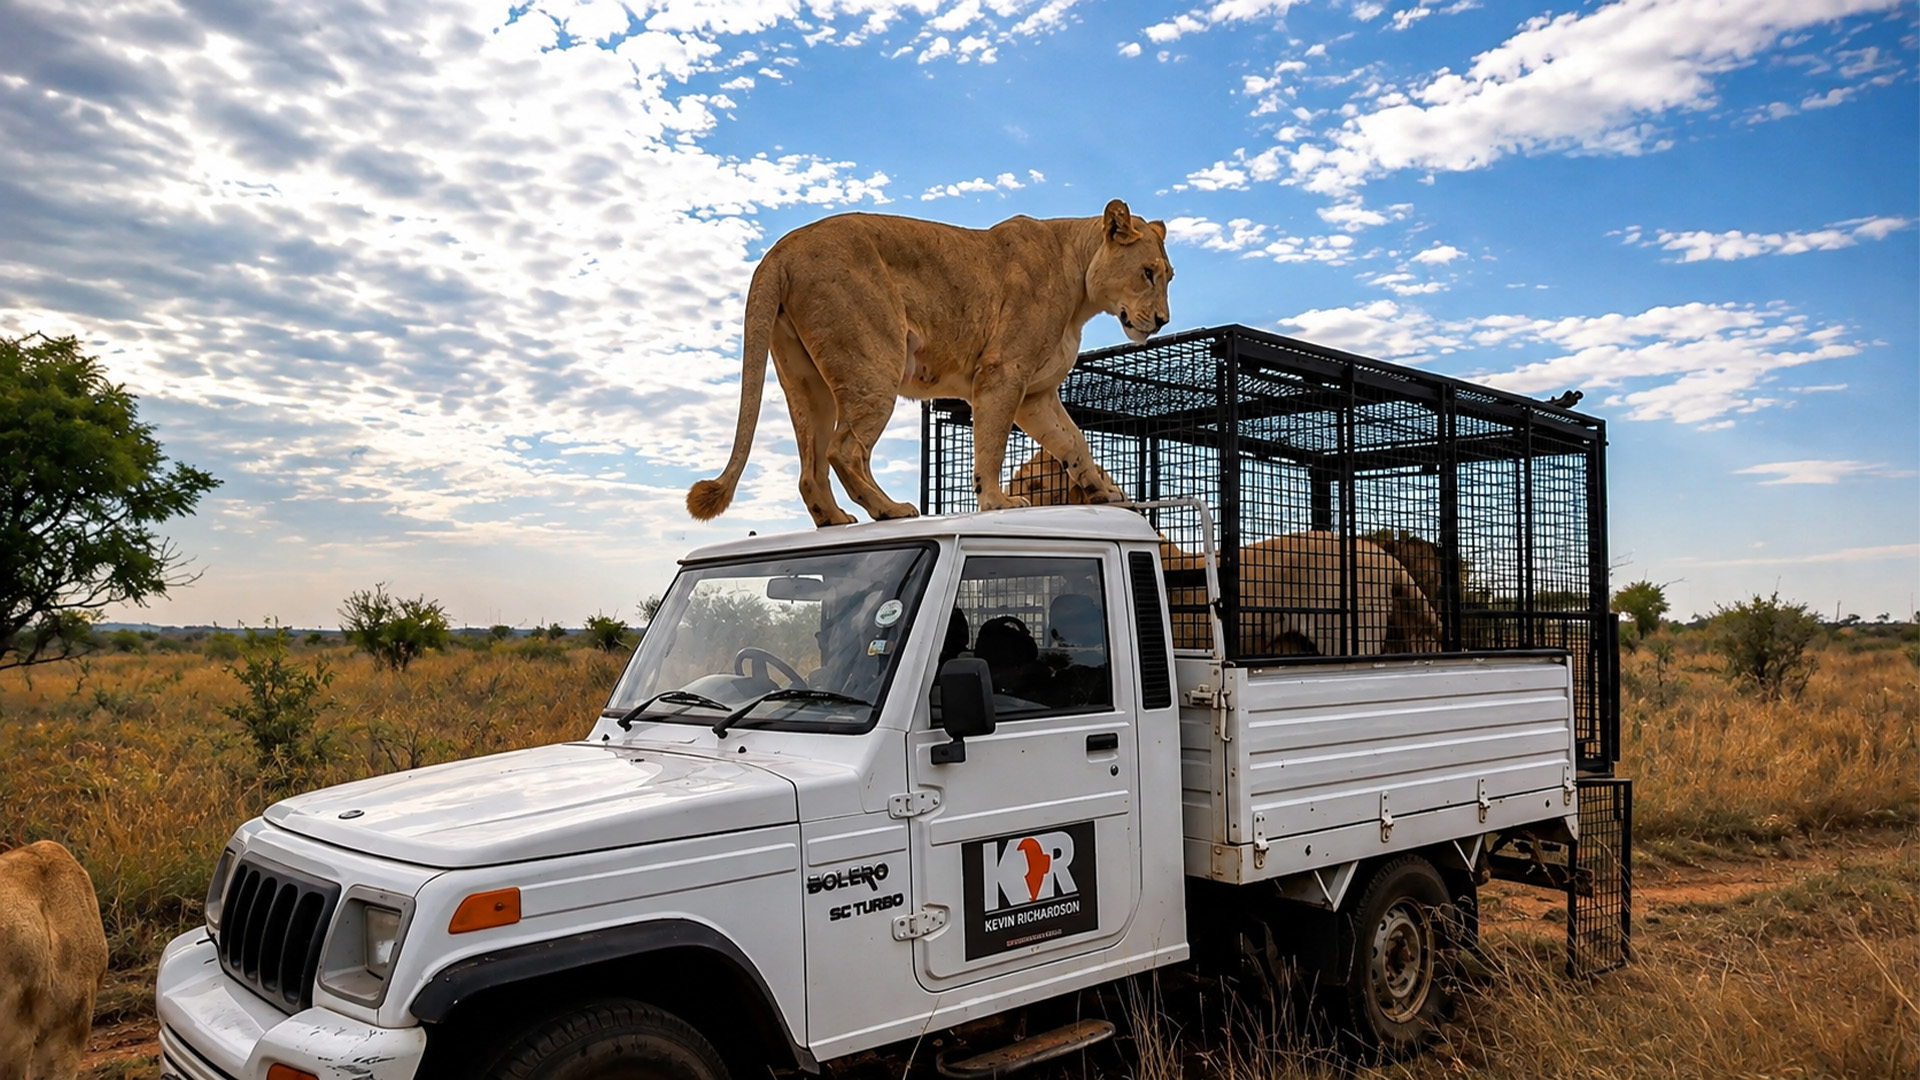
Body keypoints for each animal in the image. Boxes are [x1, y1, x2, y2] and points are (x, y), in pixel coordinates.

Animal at [687, 200, 1173, 527]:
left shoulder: (1035, 394)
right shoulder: (1002, 373)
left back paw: (836, 519)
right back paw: (891, 509)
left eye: (1168, 276)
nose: (1163, 321)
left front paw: (1106, 491)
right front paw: (996, 502)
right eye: (1147, 273)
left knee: (811, 469)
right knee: (844, 450)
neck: (1081, 292)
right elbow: (991, 445)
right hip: (875, 363)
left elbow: (1075, 444)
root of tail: (779, 251)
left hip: (807, 384)